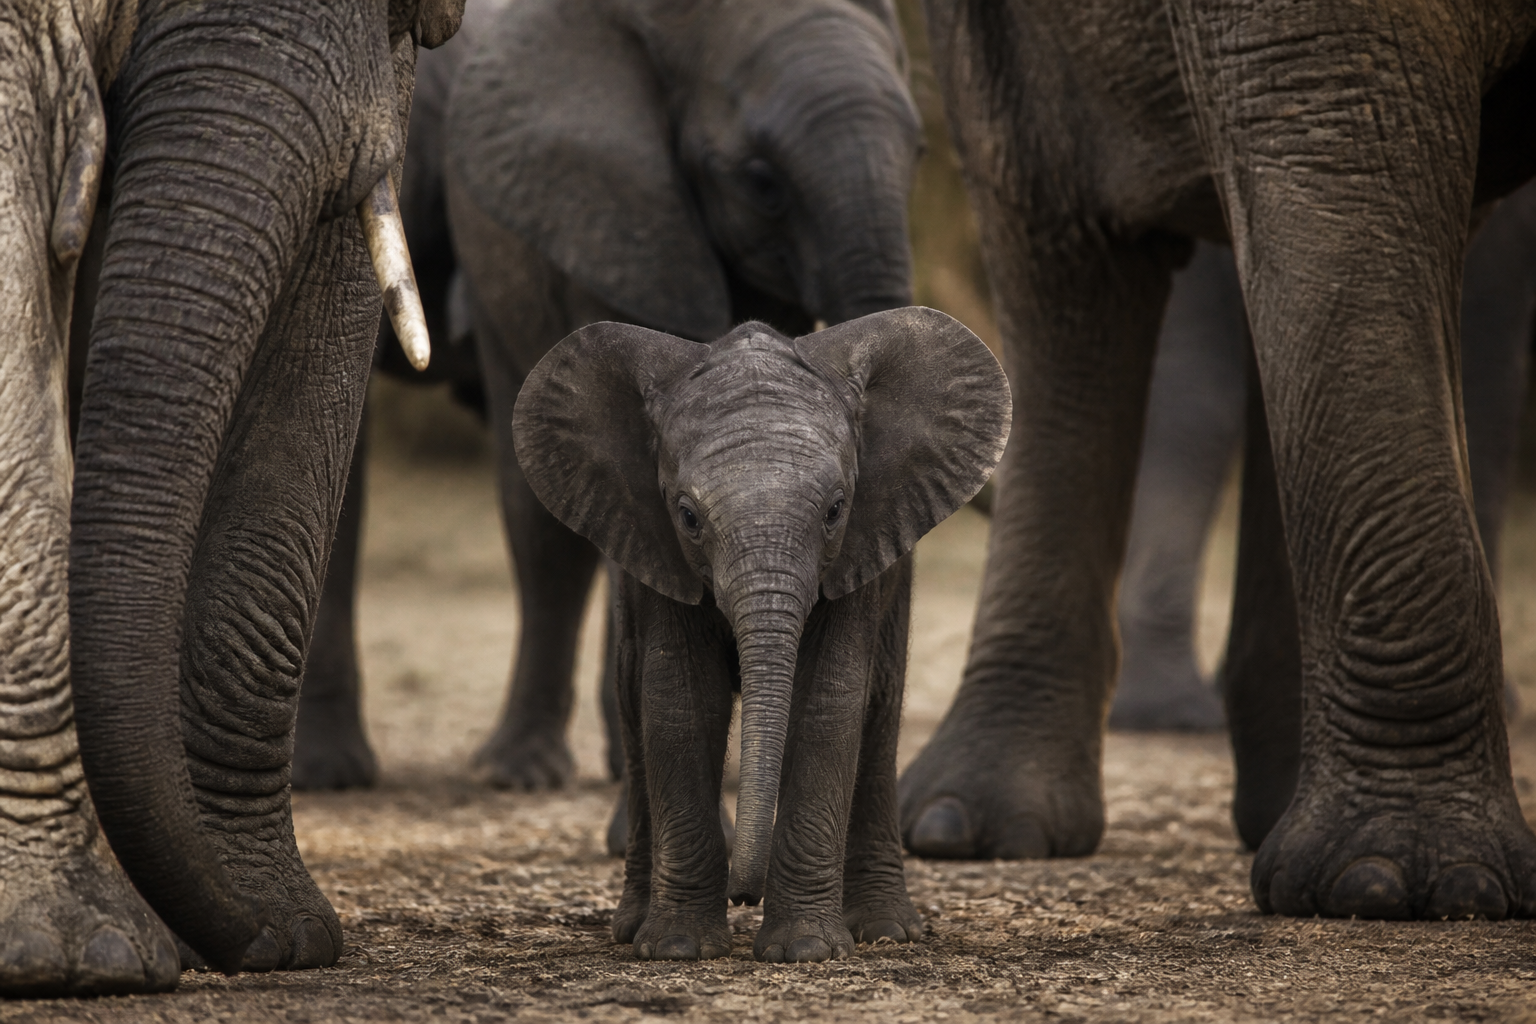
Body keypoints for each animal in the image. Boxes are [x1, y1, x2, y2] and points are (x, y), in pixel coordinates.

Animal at [513, 309, 1010, 962]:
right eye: (688, 516)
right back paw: (631, 925)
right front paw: (678, 947)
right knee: (633, 706)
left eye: (835, 509)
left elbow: (828, 703)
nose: (744, 894)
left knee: (879, 714)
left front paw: (806, 950)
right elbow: (680, 701)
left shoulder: (861, 548)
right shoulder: (655, 552)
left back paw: (886, 931)